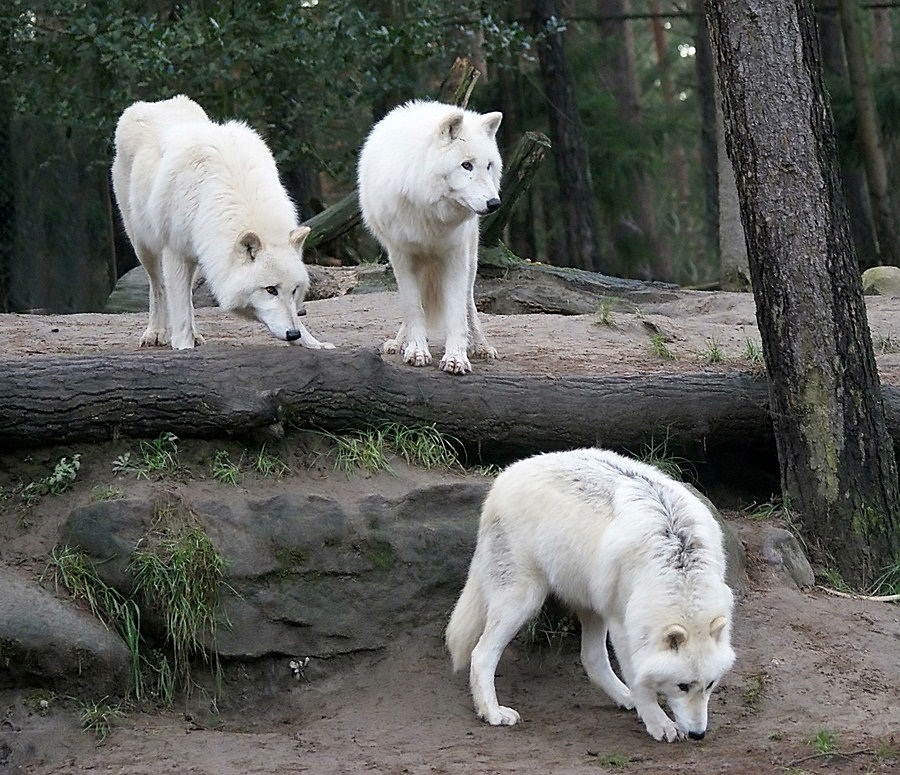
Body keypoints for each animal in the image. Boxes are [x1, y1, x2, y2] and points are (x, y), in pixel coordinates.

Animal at [110, 94, 332, 352]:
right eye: (270, 290)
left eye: (294, 290)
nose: (292, 333)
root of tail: (155, 103)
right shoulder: (175, 252)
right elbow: (179, 310)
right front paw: (183, 346)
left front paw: (313, 342)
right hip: (144, 244)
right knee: (158, 286)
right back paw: (156, 333)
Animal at [356, 98, 500, 378]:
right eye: (466, 165)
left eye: (488, 166)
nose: (494, 203)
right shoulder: (401, 255)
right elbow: (413, 308)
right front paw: (416, 351)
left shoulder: (455, 255)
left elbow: (456, 312)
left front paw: (456, 358)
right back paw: (399, 342)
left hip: (471, 260)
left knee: (469, 303)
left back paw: (481, 346)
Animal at [446, 452, 736, 744]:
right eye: (682, 686)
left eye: (710, 684)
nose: (698, 734)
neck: (677, 563)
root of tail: (505, 475)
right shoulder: (623, 624)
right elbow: (640, 681)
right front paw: (659, 723)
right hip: (523, 602)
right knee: (481, 654)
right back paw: (492, 713)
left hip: (592, 605)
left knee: (591, 658)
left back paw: (625, 698)